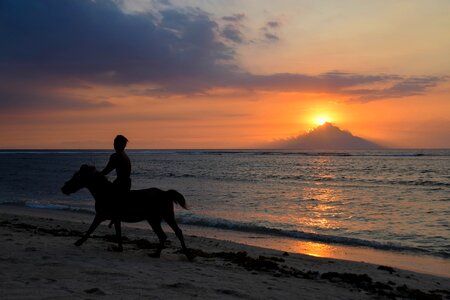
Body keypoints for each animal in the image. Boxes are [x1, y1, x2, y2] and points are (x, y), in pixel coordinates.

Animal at [60, 164, 191, 260]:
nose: (63, 188)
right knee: (172, 233)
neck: (105, 193)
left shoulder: (100, 216)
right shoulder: (115, 219)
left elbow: (90, 229)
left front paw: (79, 242)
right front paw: (119, 248)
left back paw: (160, 254)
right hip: (161, 218)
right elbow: (118, 234)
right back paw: (179, 254)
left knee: (167, 234)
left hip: (158, 218)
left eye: (77, 177)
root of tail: (165, 193)